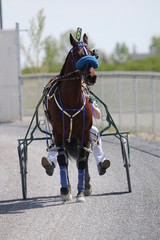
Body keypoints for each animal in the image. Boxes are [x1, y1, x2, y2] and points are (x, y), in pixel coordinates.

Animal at [45, 32, 99, 202]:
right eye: (79, 55)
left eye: (92, 53)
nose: (91, 76)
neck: (72, 101)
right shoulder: (59, 133)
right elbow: (62, 159)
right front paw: (65, 190)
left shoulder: (84, 132)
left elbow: (82, 160)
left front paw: (81, 192)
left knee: (85, 157)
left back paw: (86, 186)